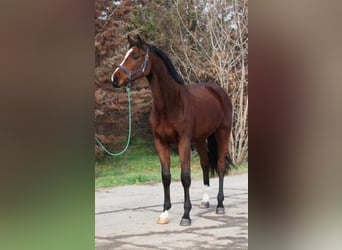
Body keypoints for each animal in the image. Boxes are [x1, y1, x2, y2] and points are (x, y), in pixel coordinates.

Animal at [111, 34, 234, 226]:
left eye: (136, 56)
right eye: (126, 54)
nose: (114, 79)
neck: (171, 104)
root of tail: (218, 91)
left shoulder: (183, 142)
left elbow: (185, 177)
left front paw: (186, 216)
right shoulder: (160, 142)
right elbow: (166, 177)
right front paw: (164, 213)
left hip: (223, 133)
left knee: (220, 166)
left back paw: (220, 205)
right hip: (200, 139)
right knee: (205, 164)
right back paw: (205, 201)